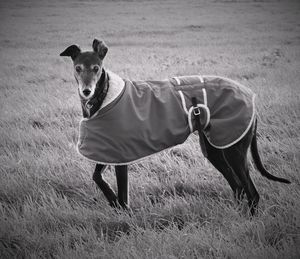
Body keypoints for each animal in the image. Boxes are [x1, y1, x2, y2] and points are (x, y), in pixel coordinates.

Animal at [60, 39, 290, 216]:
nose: (86, 91)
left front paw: (122, 212)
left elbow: (122, 196)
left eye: (96, 69)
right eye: (78, 68)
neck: (105, 95)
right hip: (215, 150)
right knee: (239, 188)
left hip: (234, 151)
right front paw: (112, 201)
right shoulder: (109, 151)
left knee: (252, 192)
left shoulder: (120, 157)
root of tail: (249, 95)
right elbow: (96, 176)